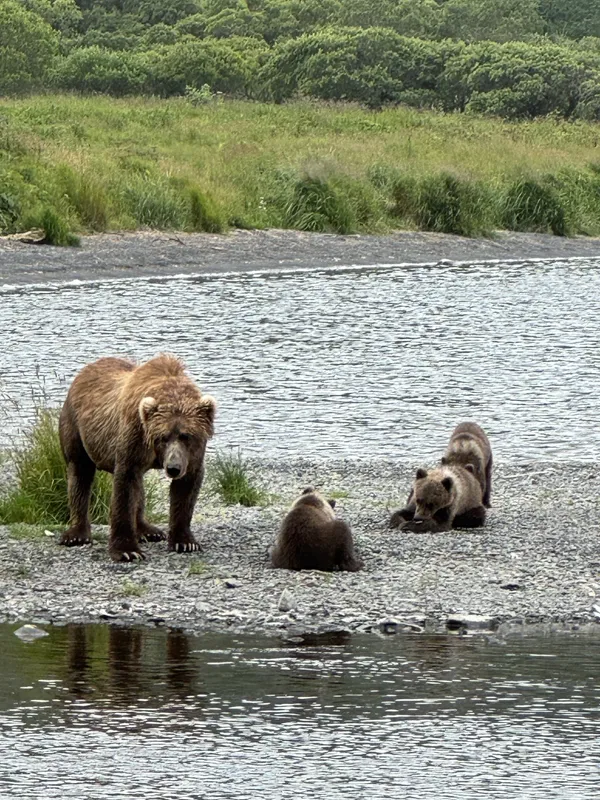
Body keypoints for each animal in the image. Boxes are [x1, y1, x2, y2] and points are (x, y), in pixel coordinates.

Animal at [58, 354, 216, 562]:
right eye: (163, 437)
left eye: (186, 436)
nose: (173, 468)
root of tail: (84, 371)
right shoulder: (133, 437)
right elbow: (125, 487)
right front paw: (127, 550)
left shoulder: (191, 456)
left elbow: (186, 489)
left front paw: (185, 542)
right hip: (76, 427)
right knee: (80, 473)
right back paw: (76, 534)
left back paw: (148, 530)